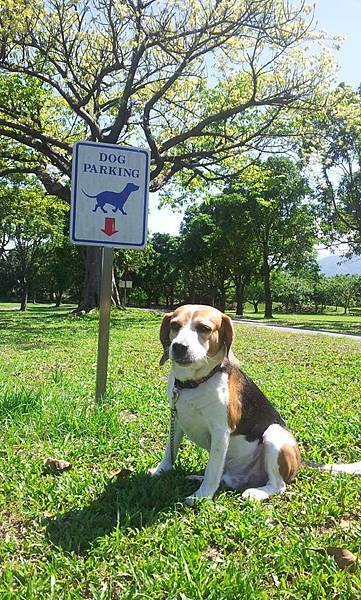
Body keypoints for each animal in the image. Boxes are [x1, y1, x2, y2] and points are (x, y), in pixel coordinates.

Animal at [150, 302, 300, 504]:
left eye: (204, 328)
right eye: (174, 326)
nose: (179, 347)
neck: (194, 383)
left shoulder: (221, 432)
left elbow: (212, 469)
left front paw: (202, 496)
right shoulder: (176, 420)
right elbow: (169, 450)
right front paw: (161, 471)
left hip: (274, 434)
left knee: (278, 485)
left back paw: (257, 492)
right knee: (224, 478)